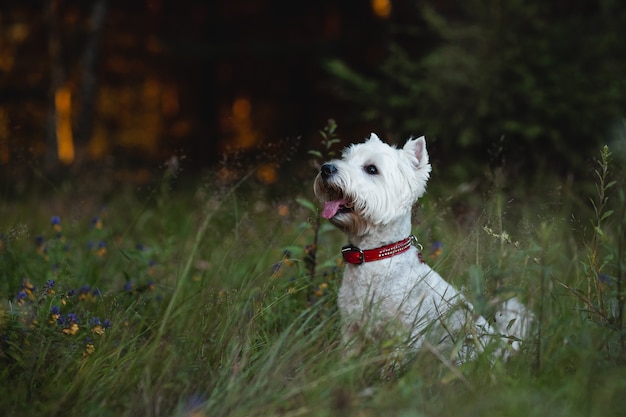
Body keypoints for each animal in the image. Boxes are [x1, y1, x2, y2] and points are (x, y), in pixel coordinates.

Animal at [314, 134, 528, 364]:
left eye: (371, 169)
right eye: (346, 158)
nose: (326, 168)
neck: (374, 256)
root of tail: (501, 350)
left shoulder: (402, 335)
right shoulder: (352, 327)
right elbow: (347, 360)